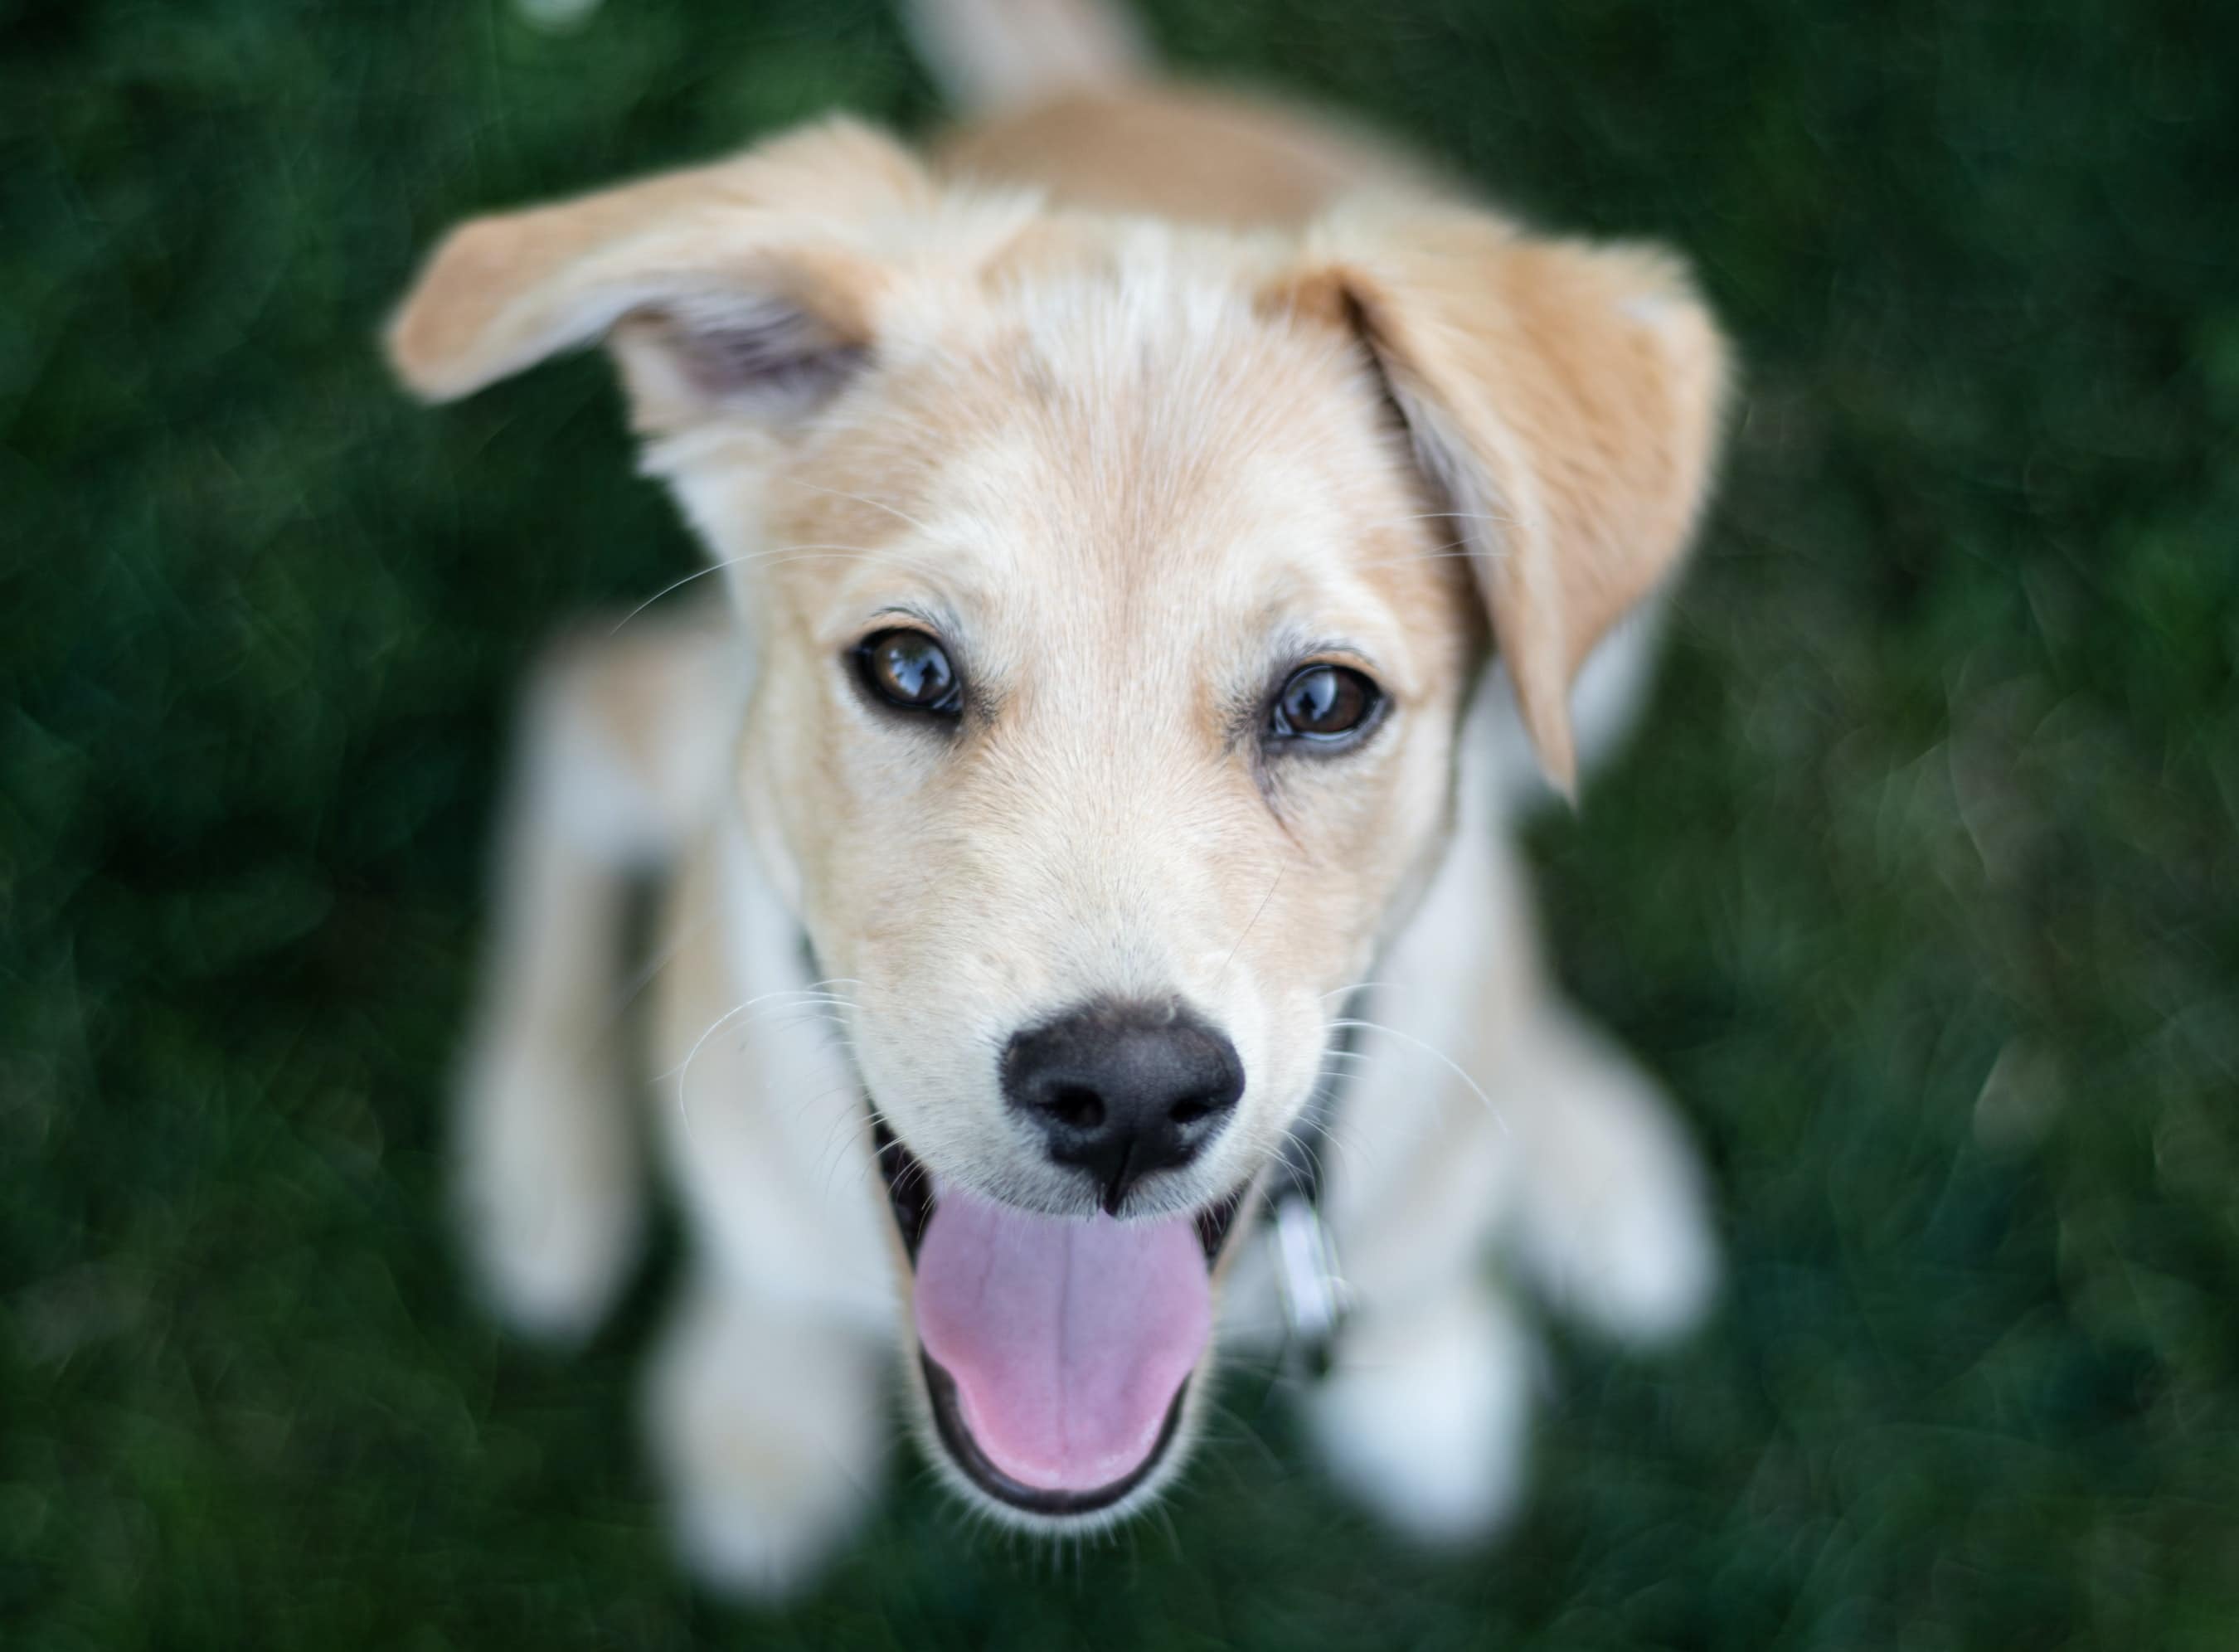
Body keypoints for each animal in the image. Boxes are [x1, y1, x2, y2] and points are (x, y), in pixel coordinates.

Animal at [385, 0, 1728, 1593]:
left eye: (1324, 701)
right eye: (908, 665)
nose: (1131, 1096)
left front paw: (1434, 1371)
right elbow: (762, 1263)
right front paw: (758, 1401)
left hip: (1607, 657)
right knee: (577, 698)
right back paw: (541, 1158)